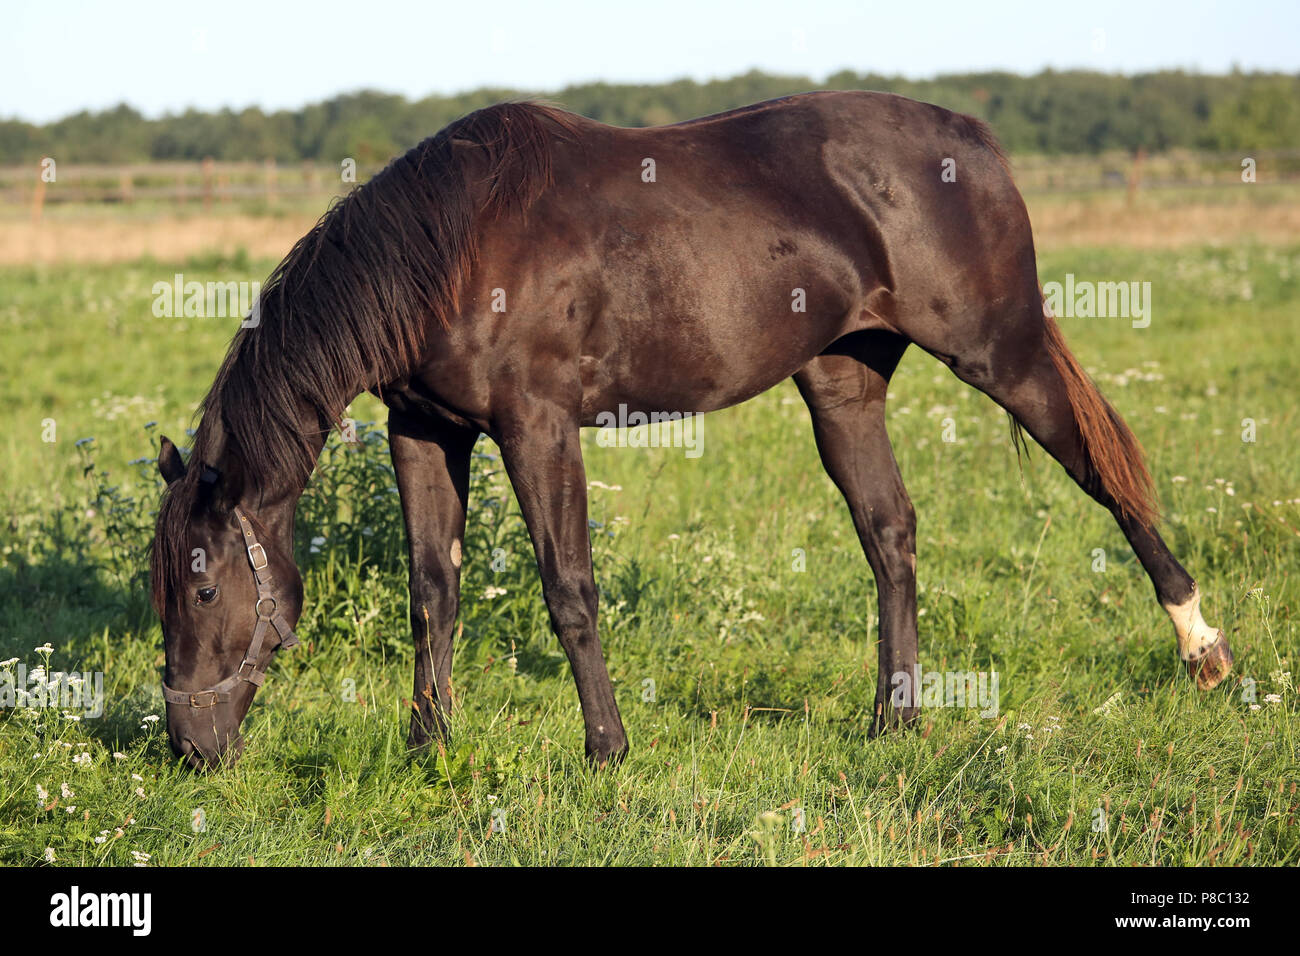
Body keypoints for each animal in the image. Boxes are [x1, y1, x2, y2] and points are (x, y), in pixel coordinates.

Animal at [149, 91, 1227, 770]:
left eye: (201, 584)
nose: (191, 749)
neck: (449, 248)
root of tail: (970, 139)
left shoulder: (538, 427)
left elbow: (569, 590)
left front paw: (606, 749)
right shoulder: (424, 431)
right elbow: (431, 593)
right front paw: (429, 744)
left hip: (998, 350)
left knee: (1105, 474)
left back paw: (1202, 647)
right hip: (842, 382)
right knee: (890, 534)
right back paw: (893, 720)